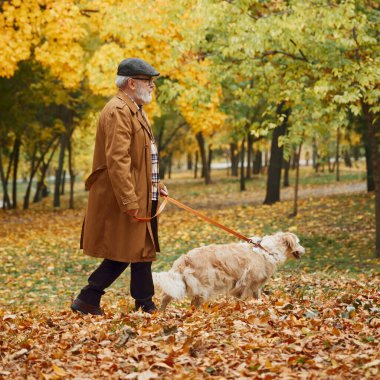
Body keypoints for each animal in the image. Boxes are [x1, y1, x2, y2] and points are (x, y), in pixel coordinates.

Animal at [153, 232, 304, 308]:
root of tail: (186, 257)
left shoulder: (254, 285)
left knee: (166, 297)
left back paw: (162, 313)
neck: (267, 249)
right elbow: (242, 296)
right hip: (205, 285)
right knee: (195, 303)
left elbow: (256, 295)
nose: (304, 250)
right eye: (298, 242)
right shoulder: (247, 281)